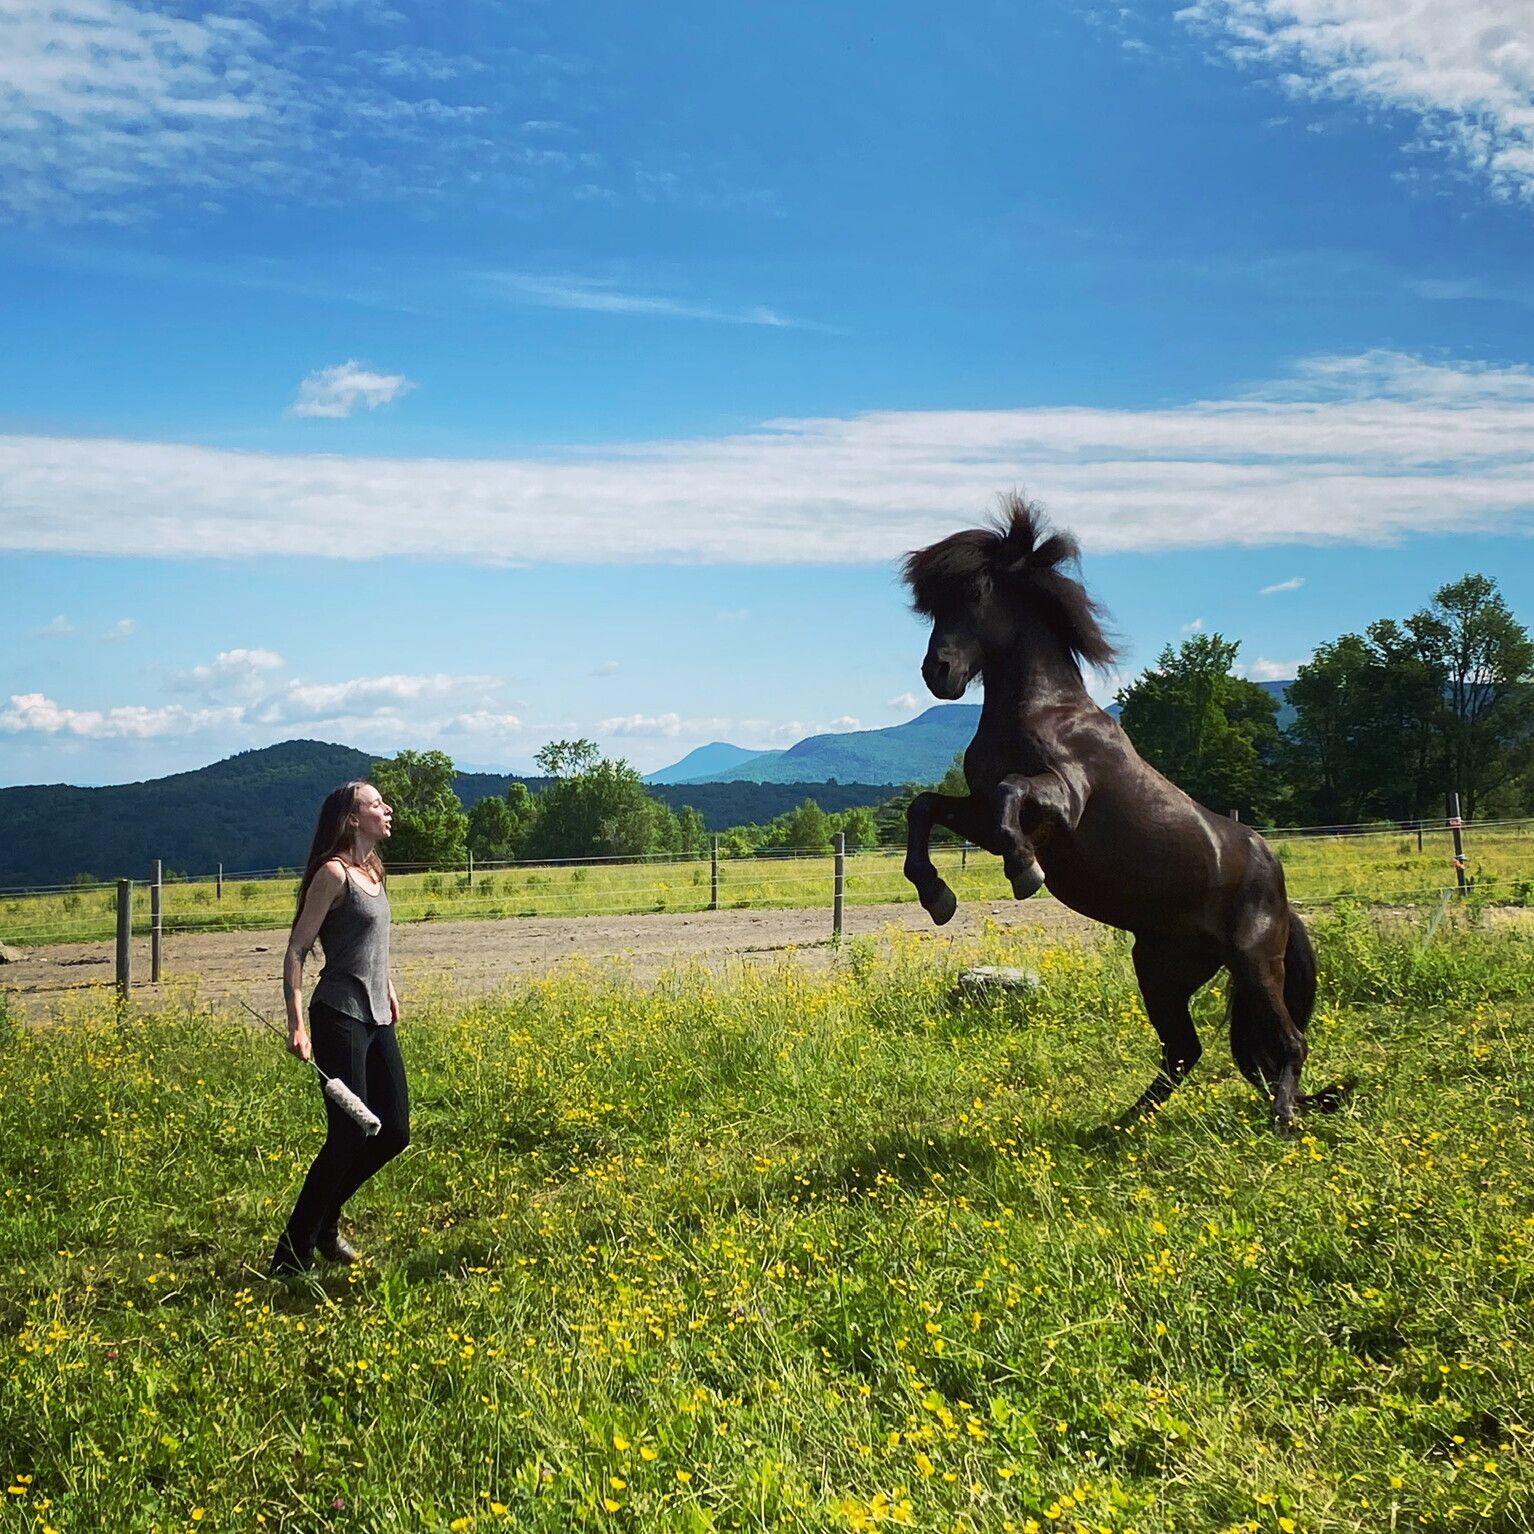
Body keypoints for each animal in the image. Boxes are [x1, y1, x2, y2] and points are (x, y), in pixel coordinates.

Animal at [901, 497, 1337, 1135]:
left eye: (977, 591)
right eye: (932, 606)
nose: (939, 674)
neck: (1041, 709)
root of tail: (1280, 892)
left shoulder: (1060, 803)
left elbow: (1010, 793)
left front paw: (1024, 873)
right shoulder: (978, 814)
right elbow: (926, 807)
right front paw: (937, 896)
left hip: (1255, 963)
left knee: (1288, 1042)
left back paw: (1283, 1122)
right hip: (1161, 968)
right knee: (1184, 1051)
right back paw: (1118, 1128)